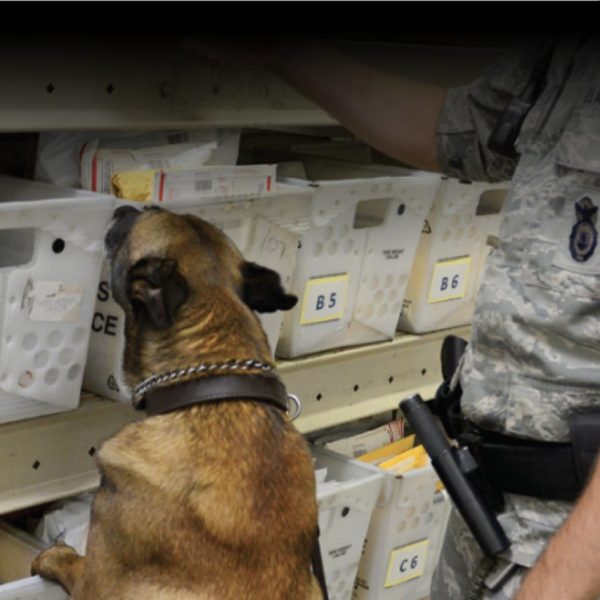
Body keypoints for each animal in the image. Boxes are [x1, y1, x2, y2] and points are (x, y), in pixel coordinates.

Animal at [31, 207, 324, 600]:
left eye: (136, 222)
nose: (122, 209)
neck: (208, 386)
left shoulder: (98, 581)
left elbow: (74, 563)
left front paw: (54, 556)